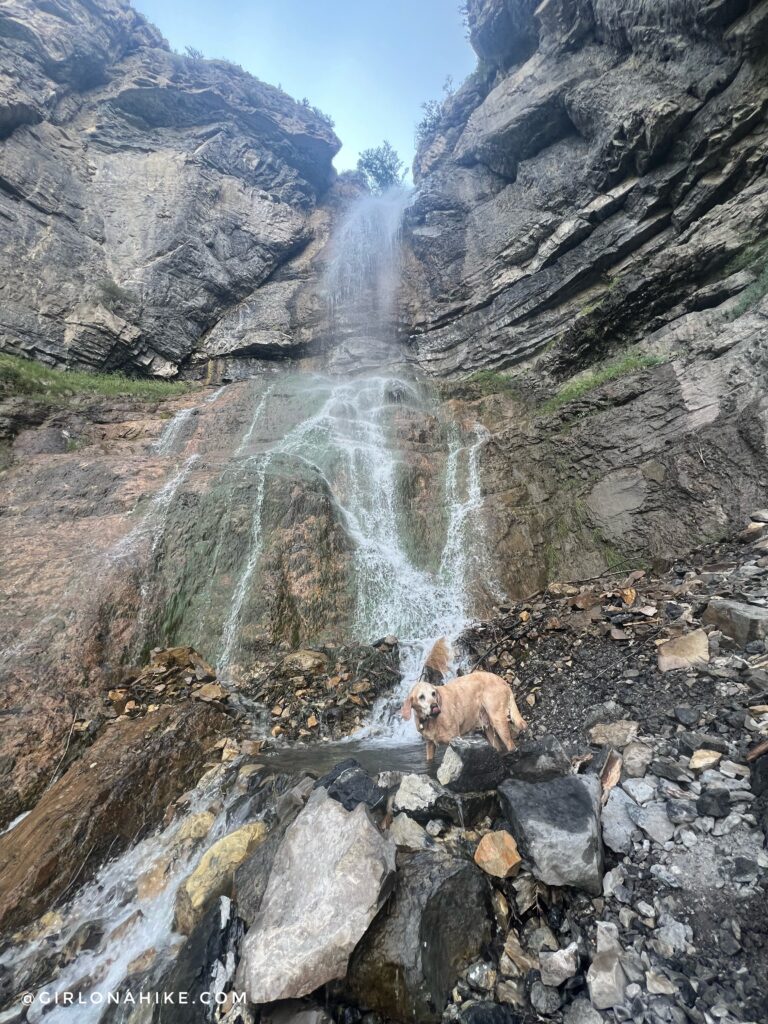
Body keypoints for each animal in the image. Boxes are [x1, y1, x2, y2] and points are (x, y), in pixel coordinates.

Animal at [399, 634, 528, 765]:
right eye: (421, 697)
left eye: (433, 693)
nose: (434, 706)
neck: (432, 720)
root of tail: (502, 681)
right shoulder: (430, 745)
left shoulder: (454, 739)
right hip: (488, 727)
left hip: (498, 721)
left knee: (511, 745)